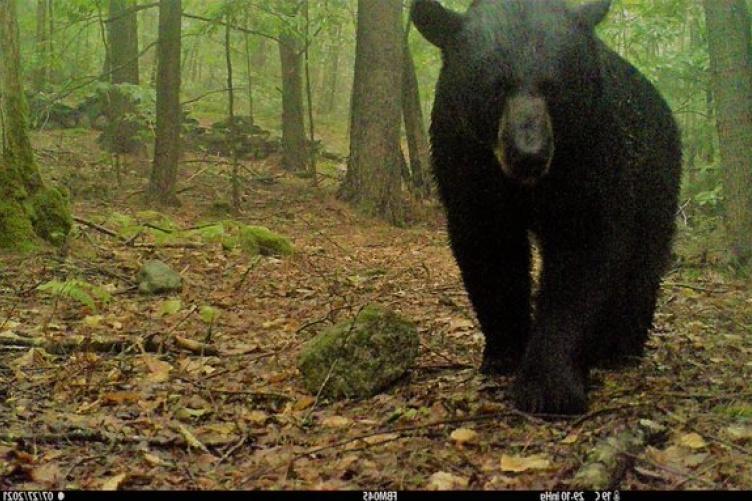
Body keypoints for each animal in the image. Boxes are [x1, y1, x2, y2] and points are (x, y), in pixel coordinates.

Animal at [412, 0, 680, 414]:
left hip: (656, 174)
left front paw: (549, 384)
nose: (529, 155)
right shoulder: (465, 156)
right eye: (496, 87)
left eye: (554, 87)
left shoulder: (590, 150)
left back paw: (621, 346)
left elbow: (583, 253)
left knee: (644, 259)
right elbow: (490, 248)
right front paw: (505, 353)